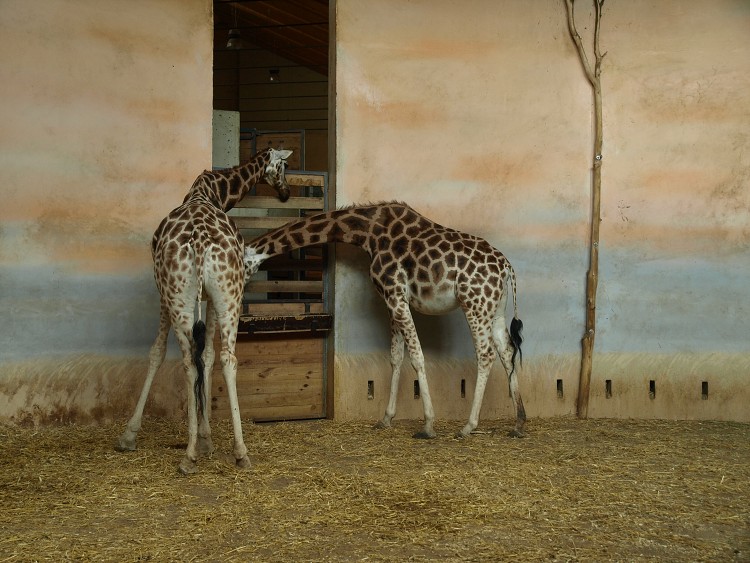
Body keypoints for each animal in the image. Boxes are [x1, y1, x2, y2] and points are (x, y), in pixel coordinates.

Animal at [117, 148, 294, 474]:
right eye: (284, 166)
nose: (286, 193)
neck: (211, 191)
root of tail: (199, 242)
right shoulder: (209, 297)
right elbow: (207, 357)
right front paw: (206, 437)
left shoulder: (168, 293)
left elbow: (161, 353)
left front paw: (130, 435)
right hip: (228, 293)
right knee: (227, 358)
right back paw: (239, 451)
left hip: (181, 296)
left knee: (190, 360)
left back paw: (190, 454)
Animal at [244, 203, 524, 440]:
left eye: (244, 265)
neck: (369, 233)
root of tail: (507, 268)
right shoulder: (391, 301)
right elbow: (396, 357)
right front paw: (386, 418)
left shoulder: (396, 295)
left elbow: (417, 356)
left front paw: (428, 425)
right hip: (495, 310)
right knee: (507, 351)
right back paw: (519, 423)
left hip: (474, 304)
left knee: (486, 354)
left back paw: (468, 426)